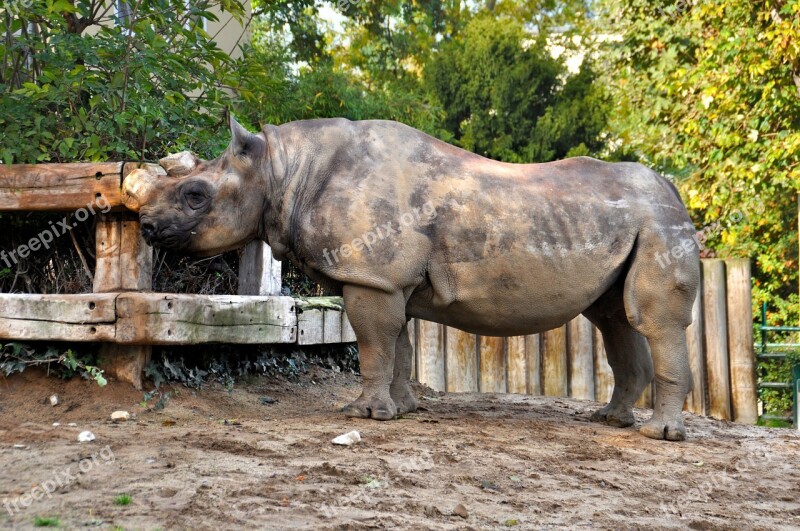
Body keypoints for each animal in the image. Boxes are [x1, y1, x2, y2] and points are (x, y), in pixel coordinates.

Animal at [122, 118, 696, 442]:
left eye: (195, 196)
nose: (146, 226)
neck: (283, 170)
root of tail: (673, 187)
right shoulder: (389, 280)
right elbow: (397, 345)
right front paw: (403, 410)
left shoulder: (371, 276)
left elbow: (374, 344)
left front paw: (364, 414)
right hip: (633, 223)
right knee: (613, 319)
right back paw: (611, 421)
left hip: (658, 221)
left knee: (652, 319)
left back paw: (661, 436)